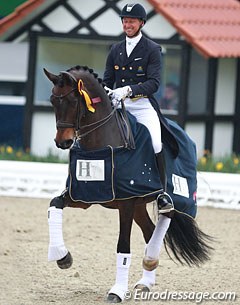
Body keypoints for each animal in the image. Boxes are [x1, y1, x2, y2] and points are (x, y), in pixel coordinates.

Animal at [44, 65, 213, 300]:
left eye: (72, 100)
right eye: (52, 100)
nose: (63, 142)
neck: (102, 145)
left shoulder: (126, 204)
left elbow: (123, 245)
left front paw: (117, 291)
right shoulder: (84, 195)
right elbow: (54, 205)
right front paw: (62, 256)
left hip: (169, 199)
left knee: (165, 215)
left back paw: (150, 259)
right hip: (139, 206)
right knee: (150, 232)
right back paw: (146, 281)